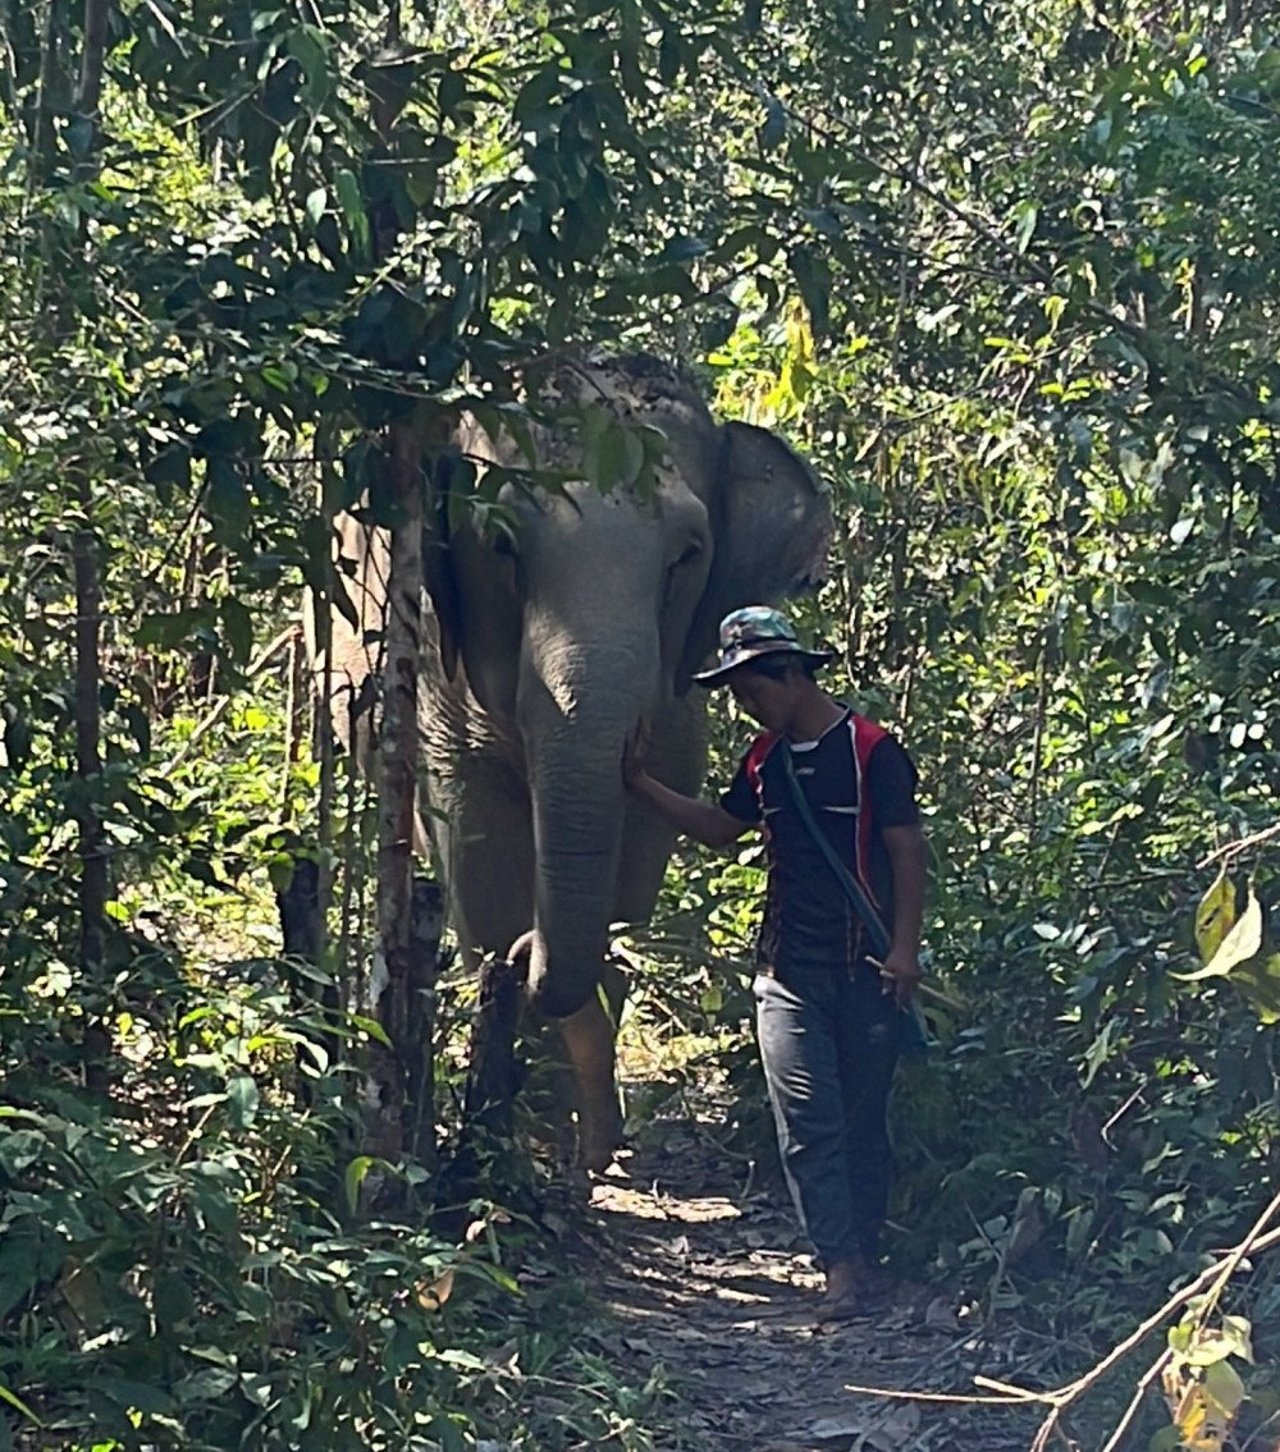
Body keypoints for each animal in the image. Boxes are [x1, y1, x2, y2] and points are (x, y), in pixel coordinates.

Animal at [314, 357, 835, 1173]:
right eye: (500, 545)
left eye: (686, 555)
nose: (604, 1148)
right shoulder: (437, 671)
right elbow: (479, 856)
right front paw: (529, 1131)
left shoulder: (678, 704)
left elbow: (640, 860)